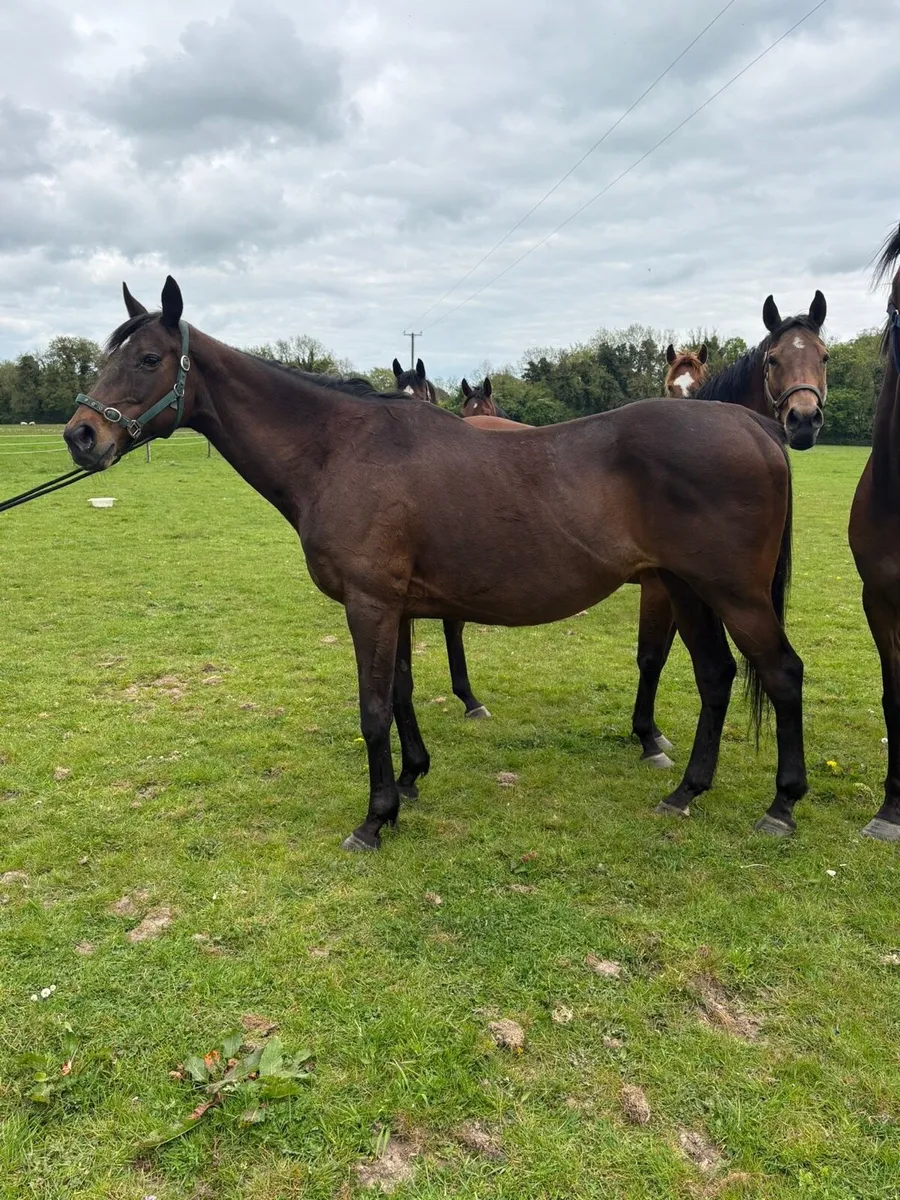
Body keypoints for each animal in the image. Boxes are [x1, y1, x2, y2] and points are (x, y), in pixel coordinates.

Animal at [64, 277, 806, 853]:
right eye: (108, 355)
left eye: (150, 358)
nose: (81, 435)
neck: (340, 450)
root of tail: (753, 425)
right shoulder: (393, 605)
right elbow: (399, 694)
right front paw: (410, 780)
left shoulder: (369, 604)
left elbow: (371, 708)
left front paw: (373, 820)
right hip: (687, 589)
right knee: (716, 678)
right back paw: (686, 792)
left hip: (733, 594)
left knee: (781, 673)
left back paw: (781, 806)